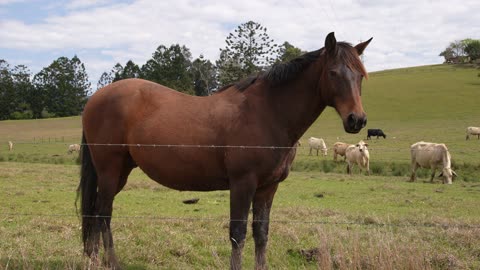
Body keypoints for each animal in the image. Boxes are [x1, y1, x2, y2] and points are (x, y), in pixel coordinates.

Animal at [78, 32, 372, 268]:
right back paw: (110, 262)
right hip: (110, 170)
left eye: (360, 75)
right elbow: (238, 233)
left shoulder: (268, 187)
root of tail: (95, 98)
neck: (267, 112)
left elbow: (261, 233)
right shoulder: (242, 183)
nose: (356, 120)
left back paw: (94, 258)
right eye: (333, 72)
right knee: (103, 213)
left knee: (96, 211)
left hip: (120, 172)